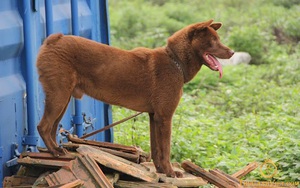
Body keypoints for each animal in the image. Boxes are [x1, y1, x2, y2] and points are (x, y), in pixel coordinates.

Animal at [37, 19, 234, 178]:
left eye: (218, 39)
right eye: (213, 41)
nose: (232, 52)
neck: (175, 61)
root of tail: (55, 39)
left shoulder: (154, 117)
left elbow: (156, 149)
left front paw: (161, 170)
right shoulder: (165, 117)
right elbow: (166, 149)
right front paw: (171, 172)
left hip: (63, 99)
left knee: (52, 127)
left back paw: (55, 150)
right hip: (59, 96)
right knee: (43, 126)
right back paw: (54, 152)